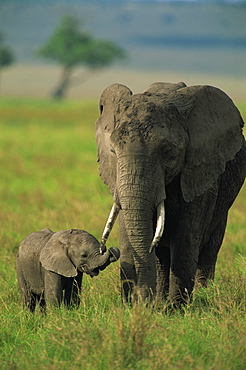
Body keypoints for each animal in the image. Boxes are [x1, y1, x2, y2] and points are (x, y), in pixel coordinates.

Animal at [95, 81, 245, 306]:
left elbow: (185, 240)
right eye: (113, 151)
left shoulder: (200, 174)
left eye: (168, 153)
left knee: (209, 248)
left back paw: (203, 295)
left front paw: (177, 309)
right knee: (162, 257)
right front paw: (147, 307)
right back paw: (160, 301)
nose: (107, 251)